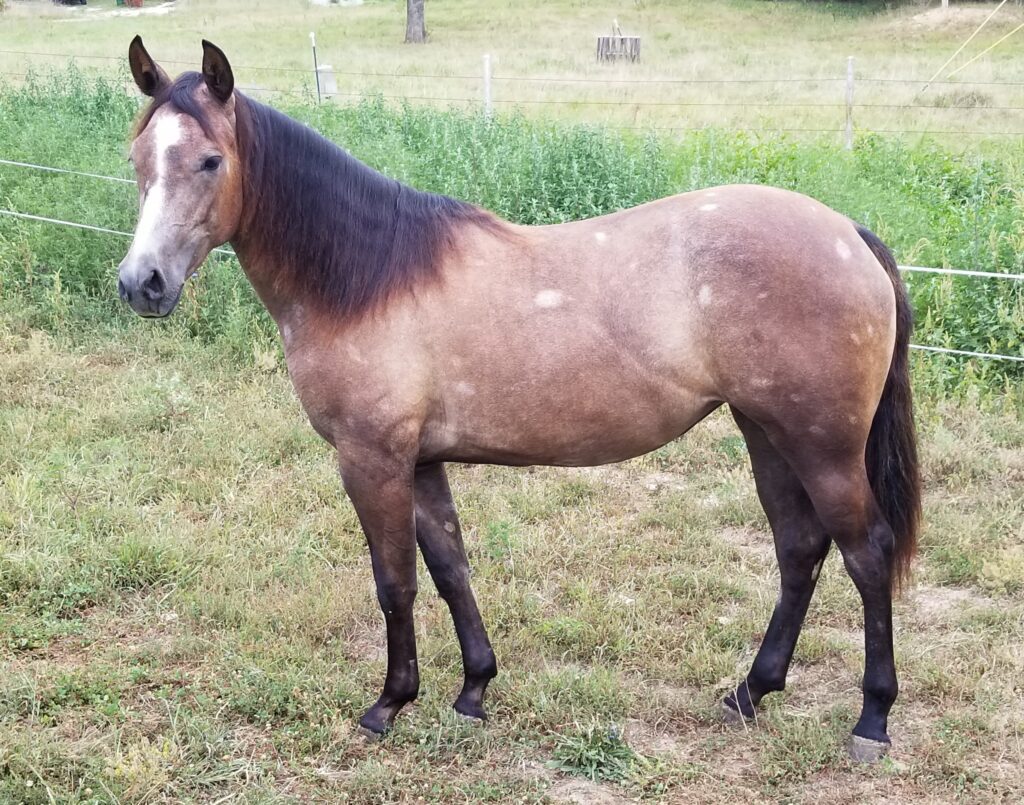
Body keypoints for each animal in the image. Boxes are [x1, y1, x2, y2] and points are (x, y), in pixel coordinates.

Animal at [117, 37, 920, 761]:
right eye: (137, 160)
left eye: (210, 161)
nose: (141, 283)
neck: (367, 278)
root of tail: (849, 233)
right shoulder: (420, 461)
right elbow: (449, 569)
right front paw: (473, 690)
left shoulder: (371, 460)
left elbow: (394, 583)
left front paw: (388, 704)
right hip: (766, 431)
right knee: (799, 549)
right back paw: (751, 691)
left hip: (822, 446)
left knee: (867, 554)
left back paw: (872, 719)